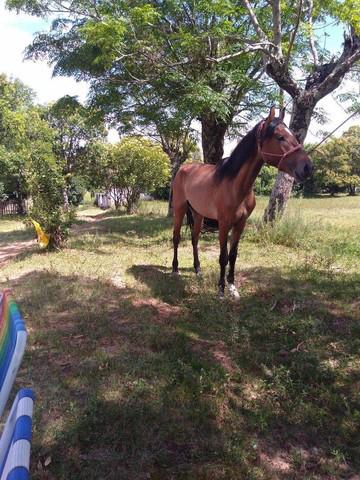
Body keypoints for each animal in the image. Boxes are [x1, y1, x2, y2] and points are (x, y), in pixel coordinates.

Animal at [171, 107, 312, 298]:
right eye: (280, 137)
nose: (308, 167)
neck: (235, 185)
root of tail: (183, 168)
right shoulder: (224, 224)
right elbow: (223, 257)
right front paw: (221, 290)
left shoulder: (241, 223)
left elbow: (233, 255)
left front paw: (232, 287)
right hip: (179, 209)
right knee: (176, 238)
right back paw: (175, 270)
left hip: (198, 213)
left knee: (194, 239)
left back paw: (198, 269)